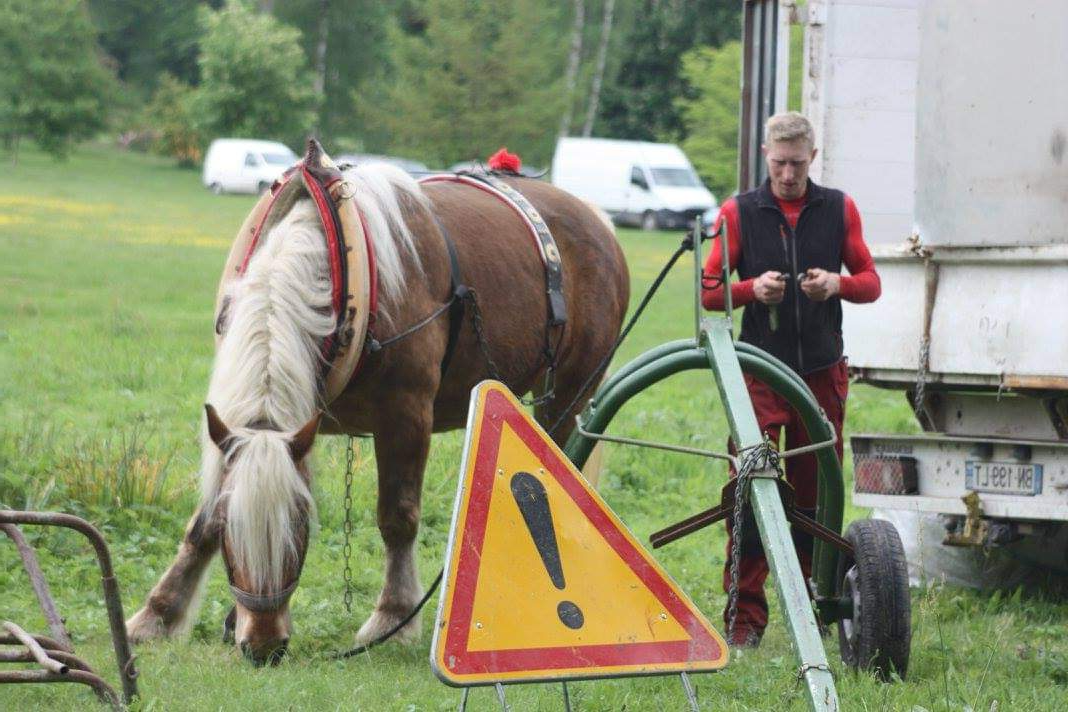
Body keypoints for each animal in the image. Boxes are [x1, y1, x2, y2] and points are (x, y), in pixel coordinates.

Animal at [124, 145, 630, 665]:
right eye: (231, 528)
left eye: (302, 523)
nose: (263, 646)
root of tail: (596, 218)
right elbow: (200, 520)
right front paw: (159, 613)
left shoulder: (405, 415)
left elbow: (398, 517)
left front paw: (393, 616)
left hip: (569, 393)